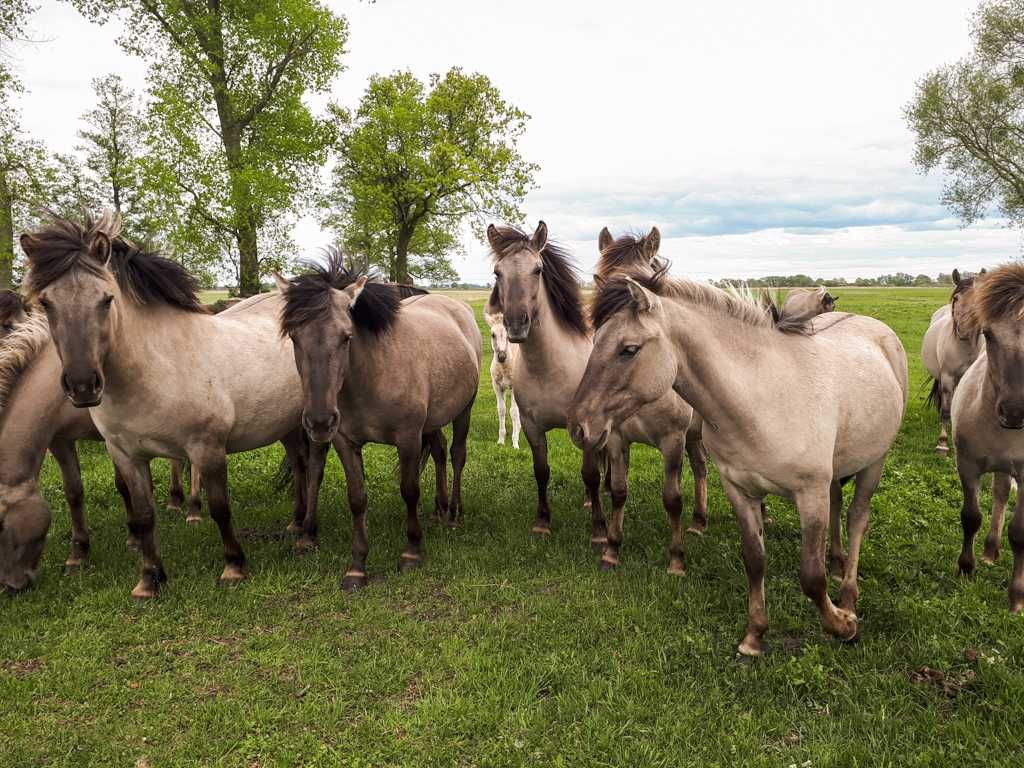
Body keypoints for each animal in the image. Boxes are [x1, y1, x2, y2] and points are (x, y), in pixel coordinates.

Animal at [19, 215, 311, 602]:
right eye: (46, 303)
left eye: (106, 299)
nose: (82, 386)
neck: (158, 365)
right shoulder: (126, 454)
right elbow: (143, 516)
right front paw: (149, 580)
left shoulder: (207, 449)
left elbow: (220, 508)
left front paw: (234, 567)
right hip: (287, 426)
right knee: (300, 464)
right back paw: (296, 522)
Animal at [485, 309, 524, 448]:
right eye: (493, 334)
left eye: (508, 335)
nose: (501, 356)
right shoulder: (497, 386)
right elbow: (501, 409)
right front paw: (501, 440)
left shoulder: (514, 387)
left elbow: (514, 411)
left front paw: (515, 443)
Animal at [569, 225, 704, 573]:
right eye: (600, 281)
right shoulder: (616, 437)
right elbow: (619, 491)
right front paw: (612, 548)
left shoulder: (673, 440)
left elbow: (672, 498)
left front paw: (676, 558)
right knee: (700, 467)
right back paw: (699, 521)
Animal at [577, 270, 905, 655]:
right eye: (595, 340)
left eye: (628, 349)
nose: (579, 427)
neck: (760, 398)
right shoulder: (740, 490)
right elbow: (754, 559)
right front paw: (754, 636)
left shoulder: (810, 494)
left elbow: (811, 577)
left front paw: (843, 625)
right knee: (839, 507)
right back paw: (837, 566)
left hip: (874, 462)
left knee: (856, 519)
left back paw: (849, 597)